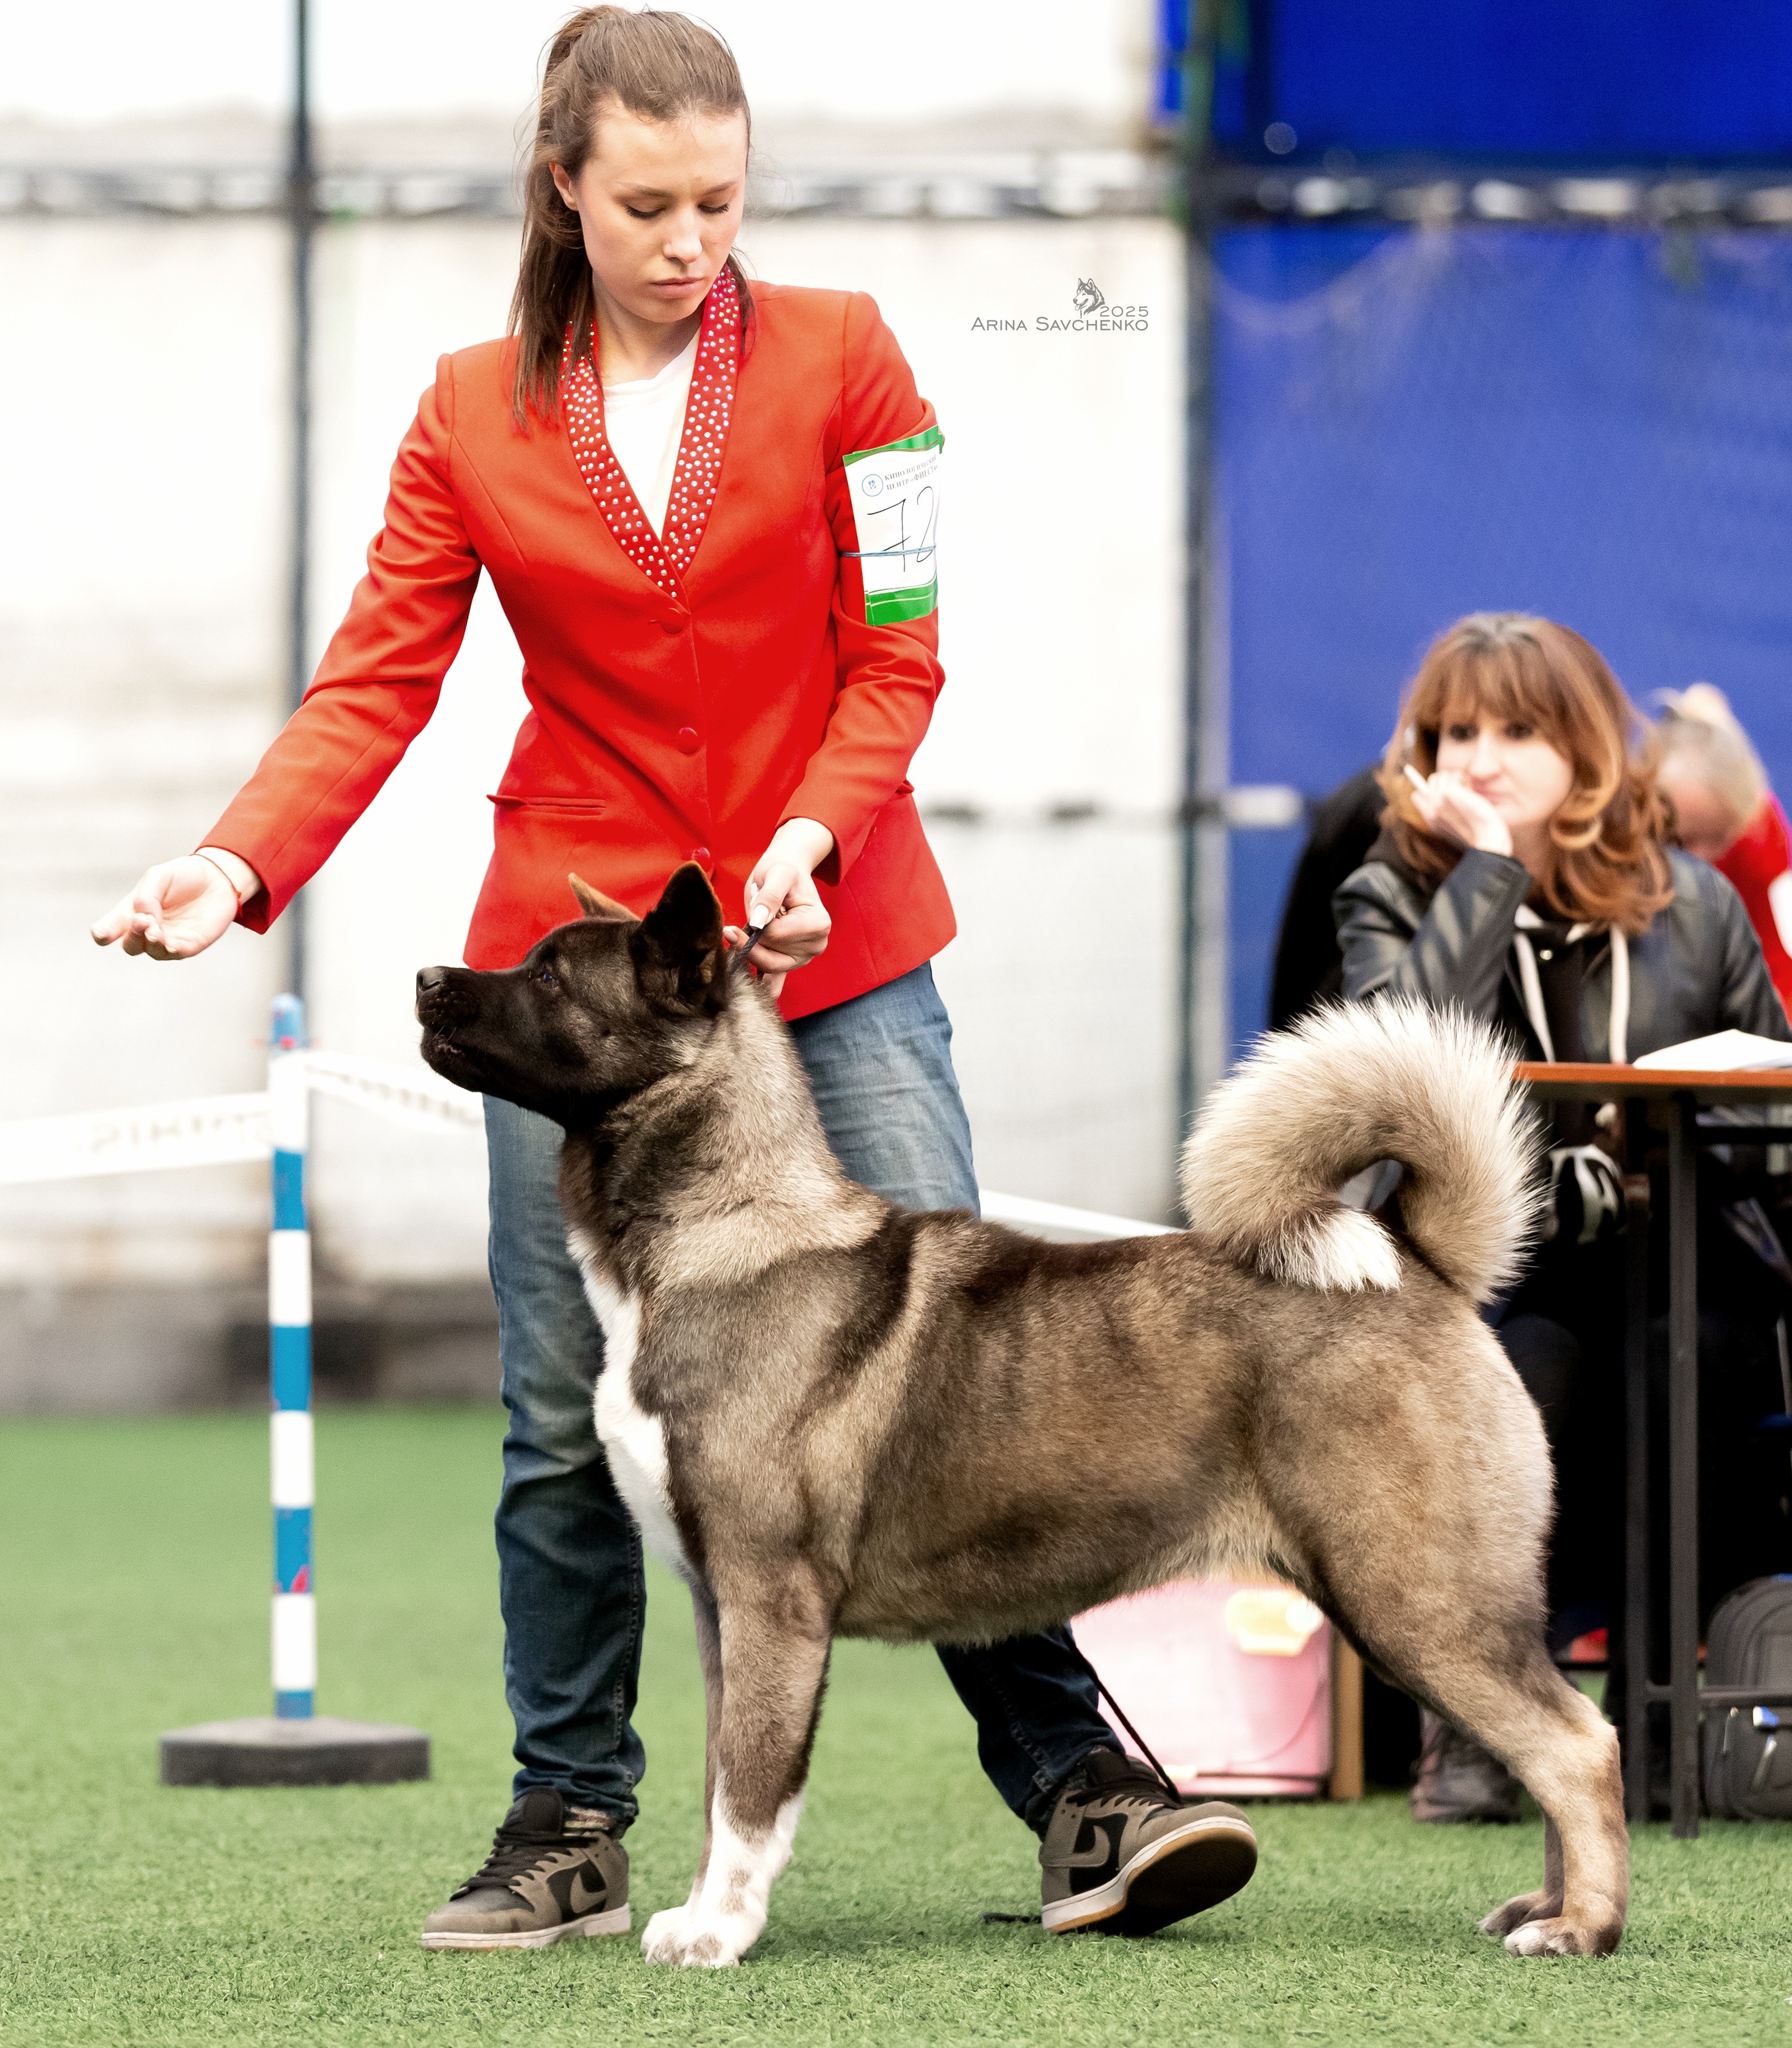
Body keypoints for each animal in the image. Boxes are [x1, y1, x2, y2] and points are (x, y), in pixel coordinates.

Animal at [415, 863, 1628, 1968]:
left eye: (549, 974)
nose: (428, 979)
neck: (724, 1222)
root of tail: (1417, 1265)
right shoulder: (725, 1613)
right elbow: (722, 1786)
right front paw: (706, 1913)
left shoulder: (770, 1603)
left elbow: (751, 1792)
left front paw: (719, 1933)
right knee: (1553, 1744)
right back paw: (1541, 1905)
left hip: (1419, 1597)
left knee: (1576, 1744)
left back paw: (1580, 1926)